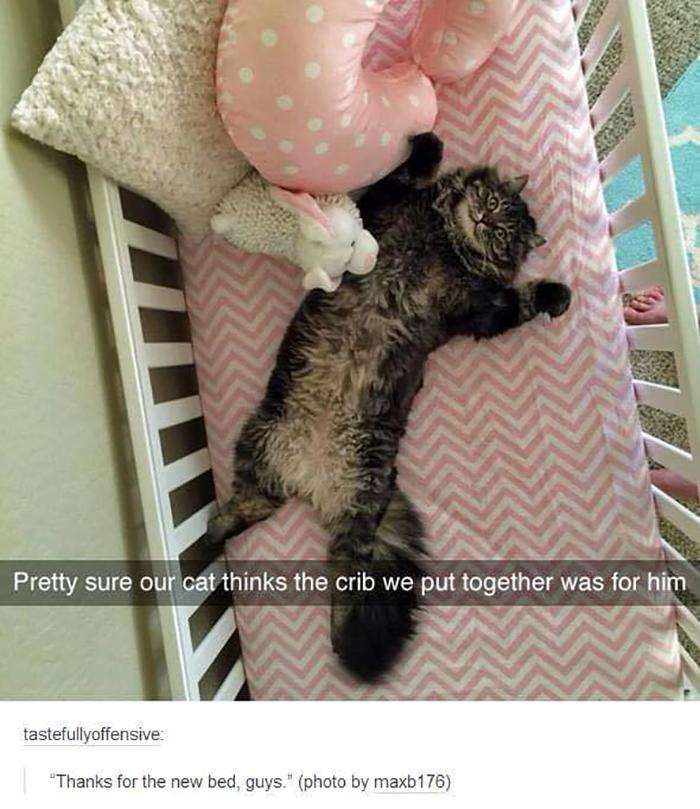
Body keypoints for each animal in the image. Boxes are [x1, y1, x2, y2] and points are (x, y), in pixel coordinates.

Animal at [207, 133, 571, 681]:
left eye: (506, 233)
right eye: (491, 204)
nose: (484, 221)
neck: (446, 238)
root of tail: (310, 481)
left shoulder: (480, 310)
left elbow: (522, 298)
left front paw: (556, 293)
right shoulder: (386, 204)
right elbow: (410, 170)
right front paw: (427, 140)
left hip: (350, 500)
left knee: (345, 572)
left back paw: (342, 643)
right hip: (261, 445)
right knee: (250, 512)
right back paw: (205, 546)